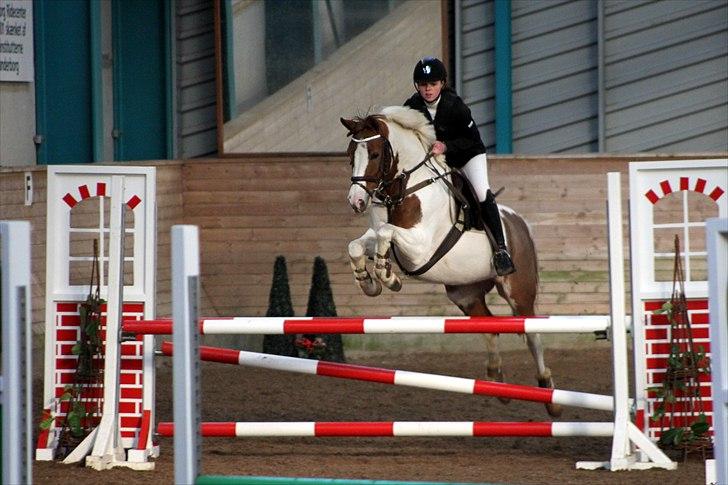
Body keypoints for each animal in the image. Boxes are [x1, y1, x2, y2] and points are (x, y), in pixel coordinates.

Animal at [342, 106, 564, 416]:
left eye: (374, 154)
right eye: (351, 154)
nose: (357, 201)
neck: (406, 189)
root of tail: (520, 222)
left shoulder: (420, 247)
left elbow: (386, 232)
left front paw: (388, 277)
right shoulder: (385, 239)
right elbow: (359, 244)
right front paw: (368, 281)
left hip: (518, 292)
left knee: (532, 335)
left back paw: (549, 394)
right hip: (465, 294)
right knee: (490, 328)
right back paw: (497, 383)